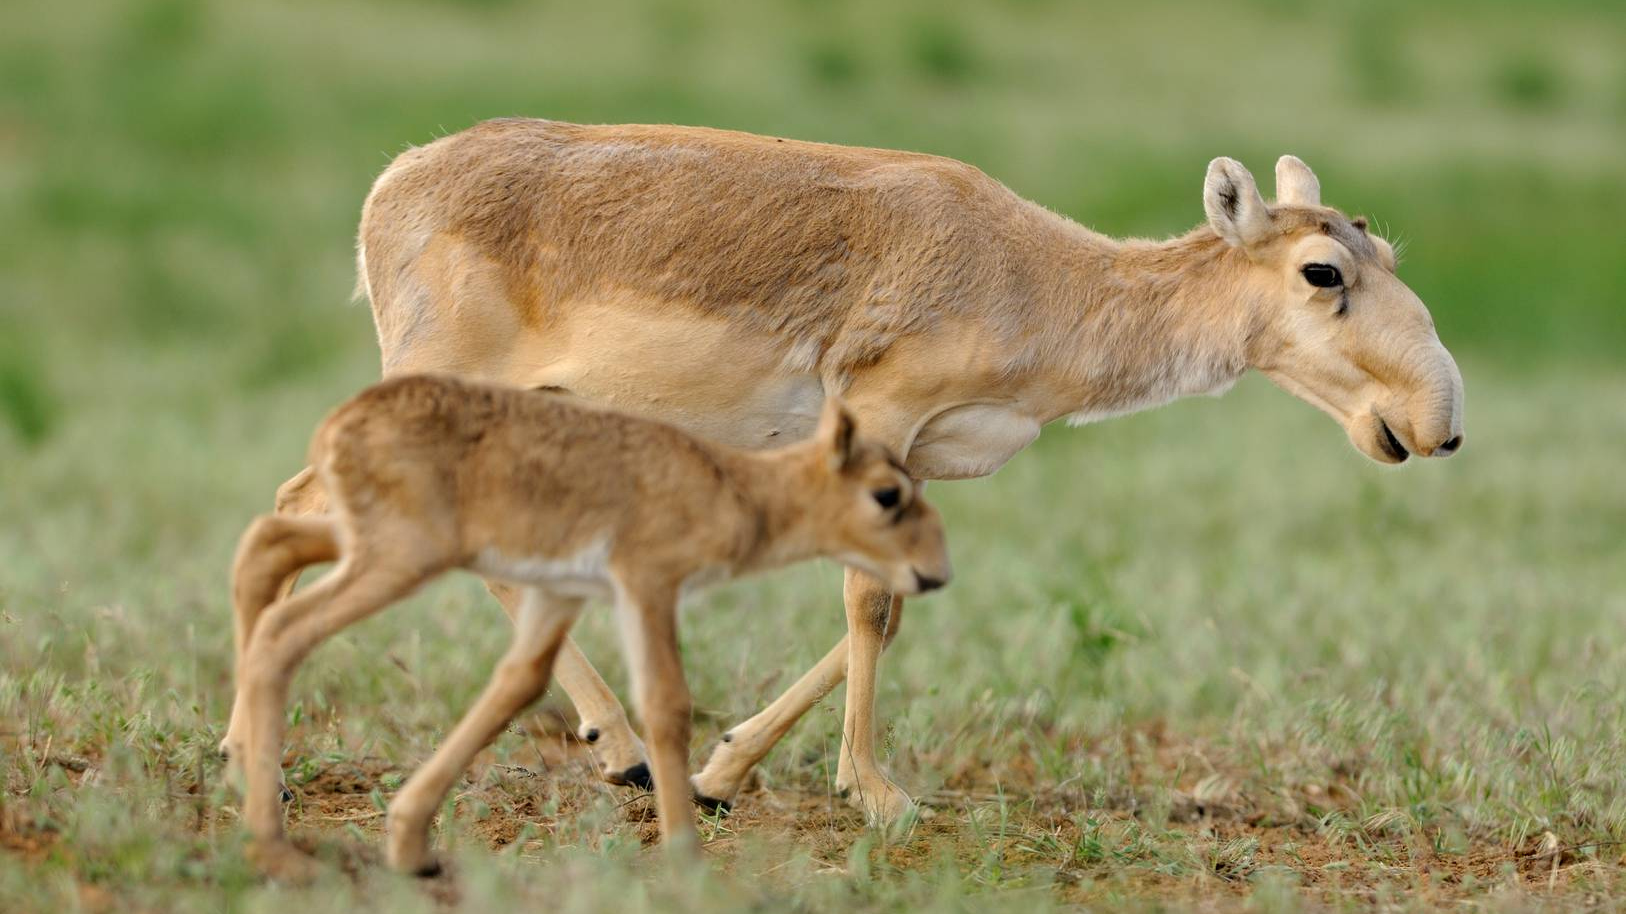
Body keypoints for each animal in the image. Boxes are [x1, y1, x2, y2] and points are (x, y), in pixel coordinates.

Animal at [247, 117, 1469, 822]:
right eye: (1322, 270)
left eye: (1383, 249)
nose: (1438, 421)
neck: (1037, 276)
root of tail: (392, 184)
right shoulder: (877, 421)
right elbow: (868, 602)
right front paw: (874, 792)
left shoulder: (917, 460)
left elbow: (893, 607)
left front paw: (722, 770)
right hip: (436, 386)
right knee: (304, 508)